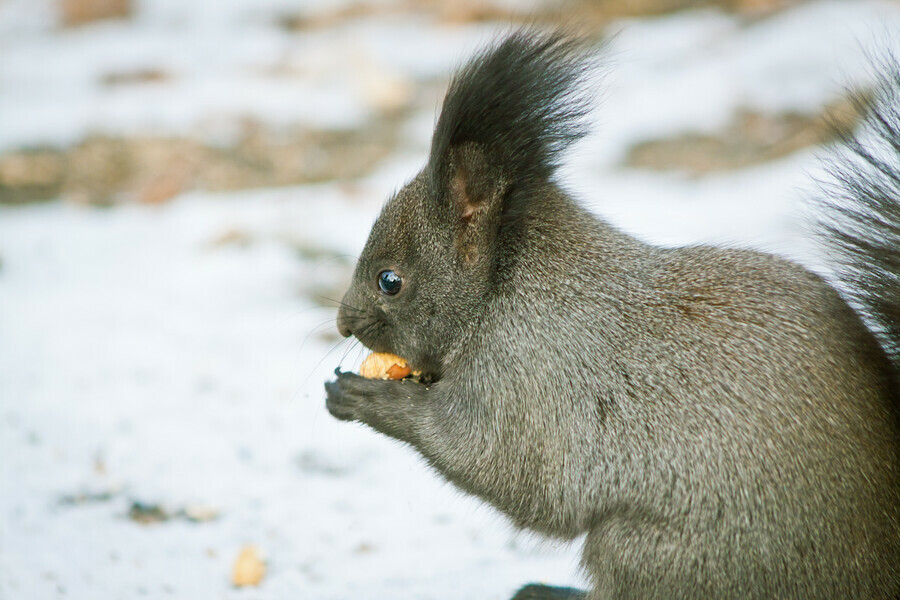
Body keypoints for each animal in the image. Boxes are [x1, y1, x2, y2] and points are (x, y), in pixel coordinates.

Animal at [324, 30, 900, 596]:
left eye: (390, 280)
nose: (343, 323)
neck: (500, 291)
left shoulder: (529, 380)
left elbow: (503, 467)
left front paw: (368, 398)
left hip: (655, 556)